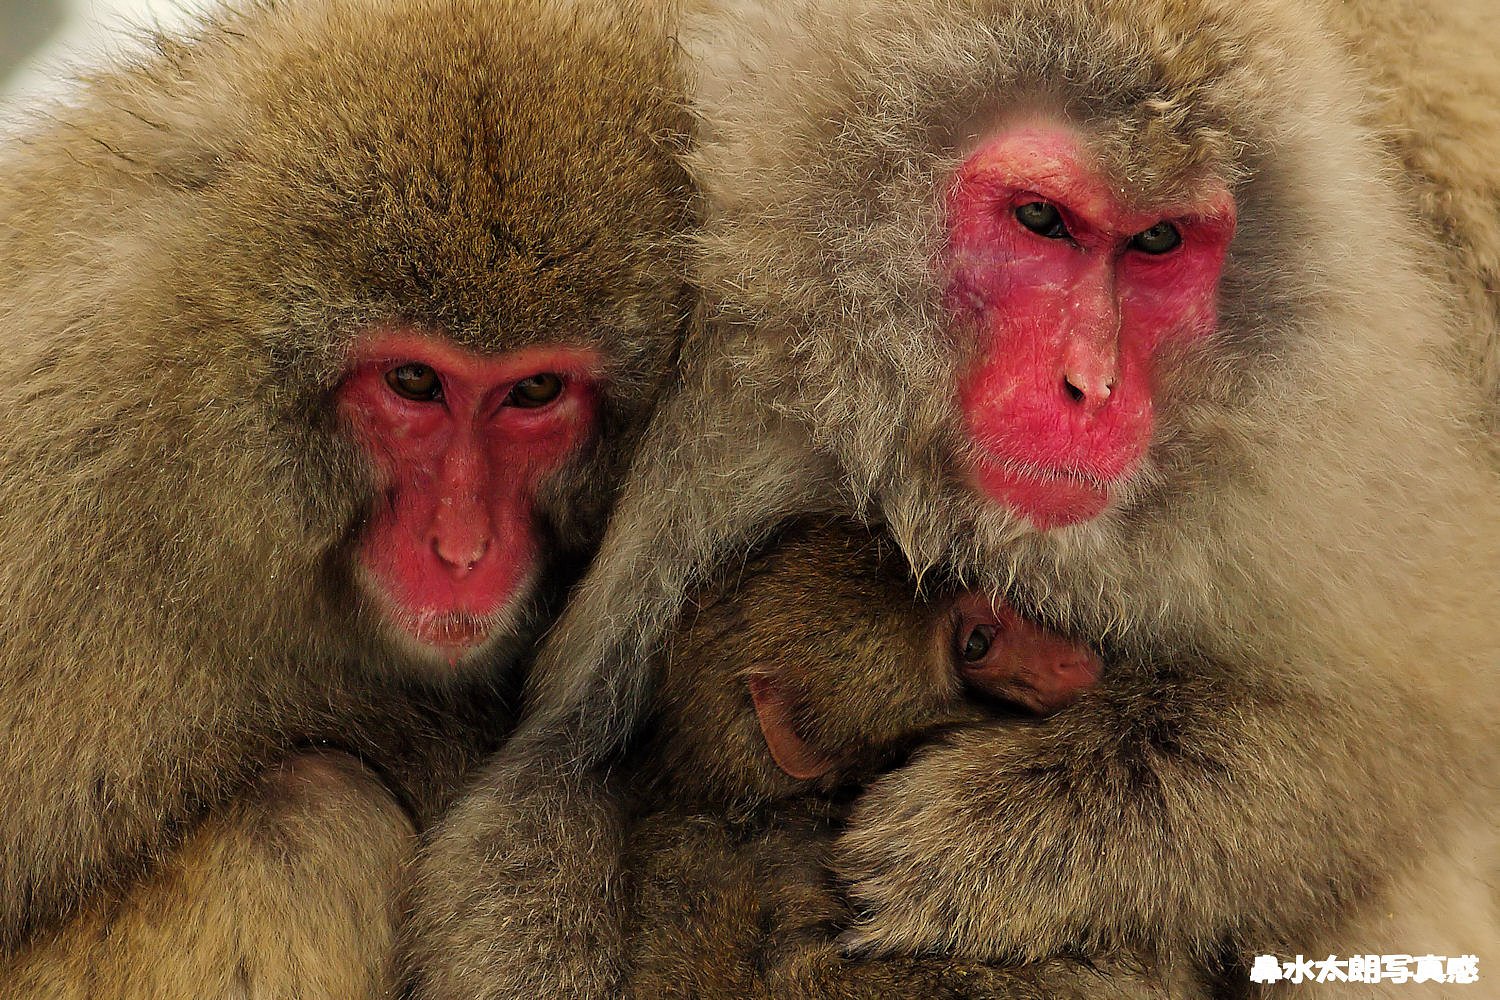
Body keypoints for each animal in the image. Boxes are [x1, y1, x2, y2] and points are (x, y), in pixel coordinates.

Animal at [400, 0, 1500, 997]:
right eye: (1041, 220)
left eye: (1158, 242)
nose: (1092, 389)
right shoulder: (715, 430)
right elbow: (555, 778)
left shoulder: (1312, 465)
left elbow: (1394, 736)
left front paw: (992, 838)